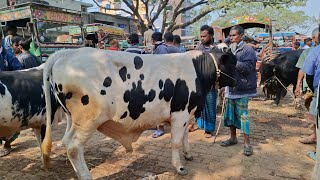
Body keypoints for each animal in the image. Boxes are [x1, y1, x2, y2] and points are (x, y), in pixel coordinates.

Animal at [42, 46, 238, 179]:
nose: (237, 82)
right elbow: (176, 142)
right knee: (74, 146)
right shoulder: (180, 113)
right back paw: (86, 176)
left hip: (71, 118)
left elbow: (185, 137)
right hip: (88, 119)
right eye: (233, 64)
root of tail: (66, 53)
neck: (196, 69)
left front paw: (188, 154)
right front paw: (179, 167)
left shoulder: (187, 113)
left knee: (66, 142)